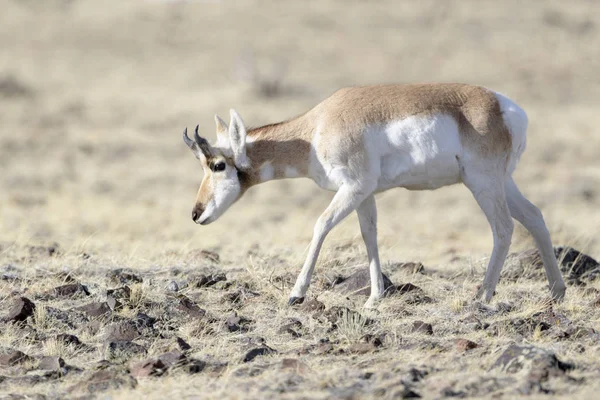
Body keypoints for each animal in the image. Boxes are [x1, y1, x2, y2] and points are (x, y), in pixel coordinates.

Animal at [183, 83, 568, 310]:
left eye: (218, 165)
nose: (196, 214)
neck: (315, 129)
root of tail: (506, 107)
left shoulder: (352, 188)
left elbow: (321, 225)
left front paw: (297, 293)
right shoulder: (364, 195)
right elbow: (369, 236)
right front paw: (373, 298)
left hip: (483, 184)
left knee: (503, 228)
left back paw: (484, 295)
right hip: (502, 183)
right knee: (534, 216)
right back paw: (557, 291)